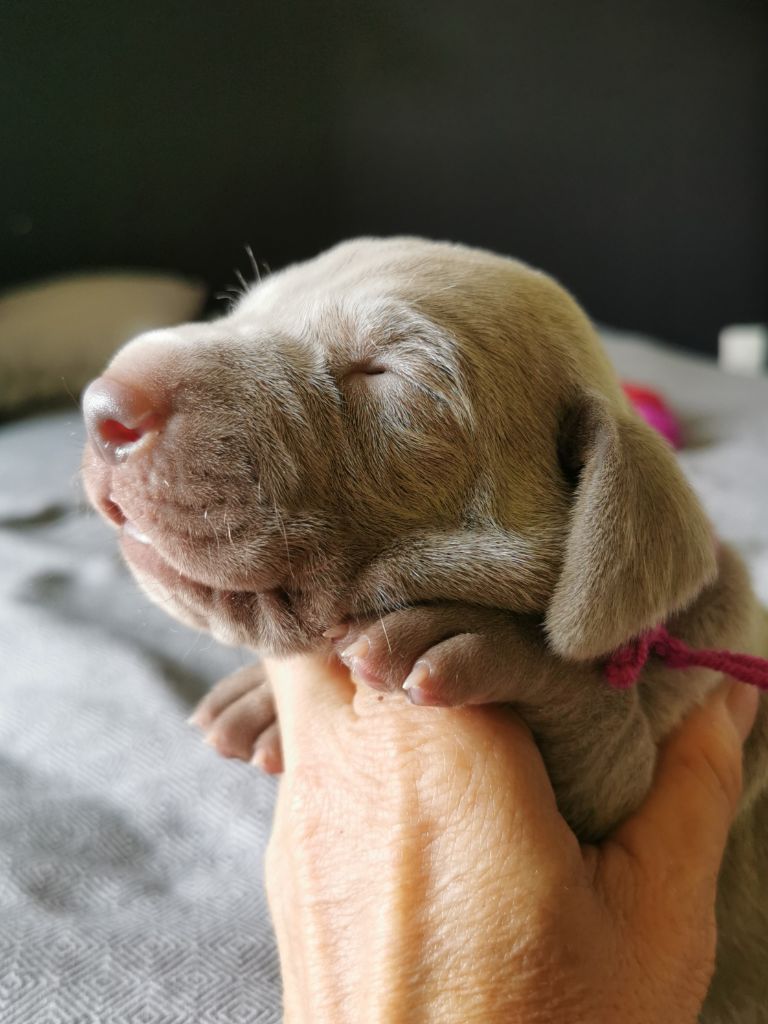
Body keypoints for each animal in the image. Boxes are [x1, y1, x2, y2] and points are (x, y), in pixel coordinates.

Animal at [81, 237, 768, 1022]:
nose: (103, 405)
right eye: (241, 310)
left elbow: (598, 726)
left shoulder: (643, 763)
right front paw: (254, 700)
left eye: (386, 373)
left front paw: (483, 649)